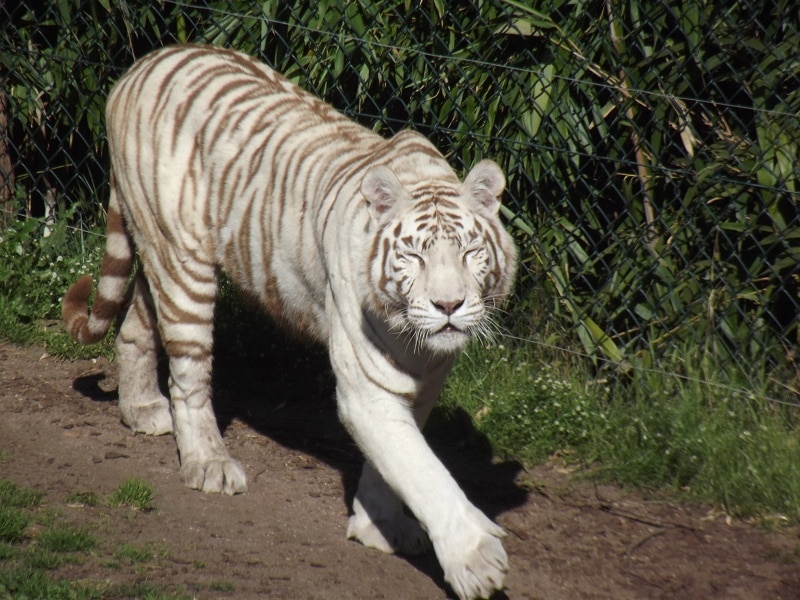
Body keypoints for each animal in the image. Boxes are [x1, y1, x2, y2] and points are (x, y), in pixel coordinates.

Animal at [65, 45, 520, 600]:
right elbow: (424, 470)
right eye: (414, 255)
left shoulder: (427, 376)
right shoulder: (367, 381)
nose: (449, 305)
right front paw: (475, 559)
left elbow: (395, 458)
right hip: (183, 261)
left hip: (157, 251)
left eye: (472, 251)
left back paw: (143, 411)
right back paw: (208, 463)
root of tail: (142, 64)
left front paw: (381, 527)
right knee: (189, 372)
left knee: (135, 327)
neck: (414, 345)